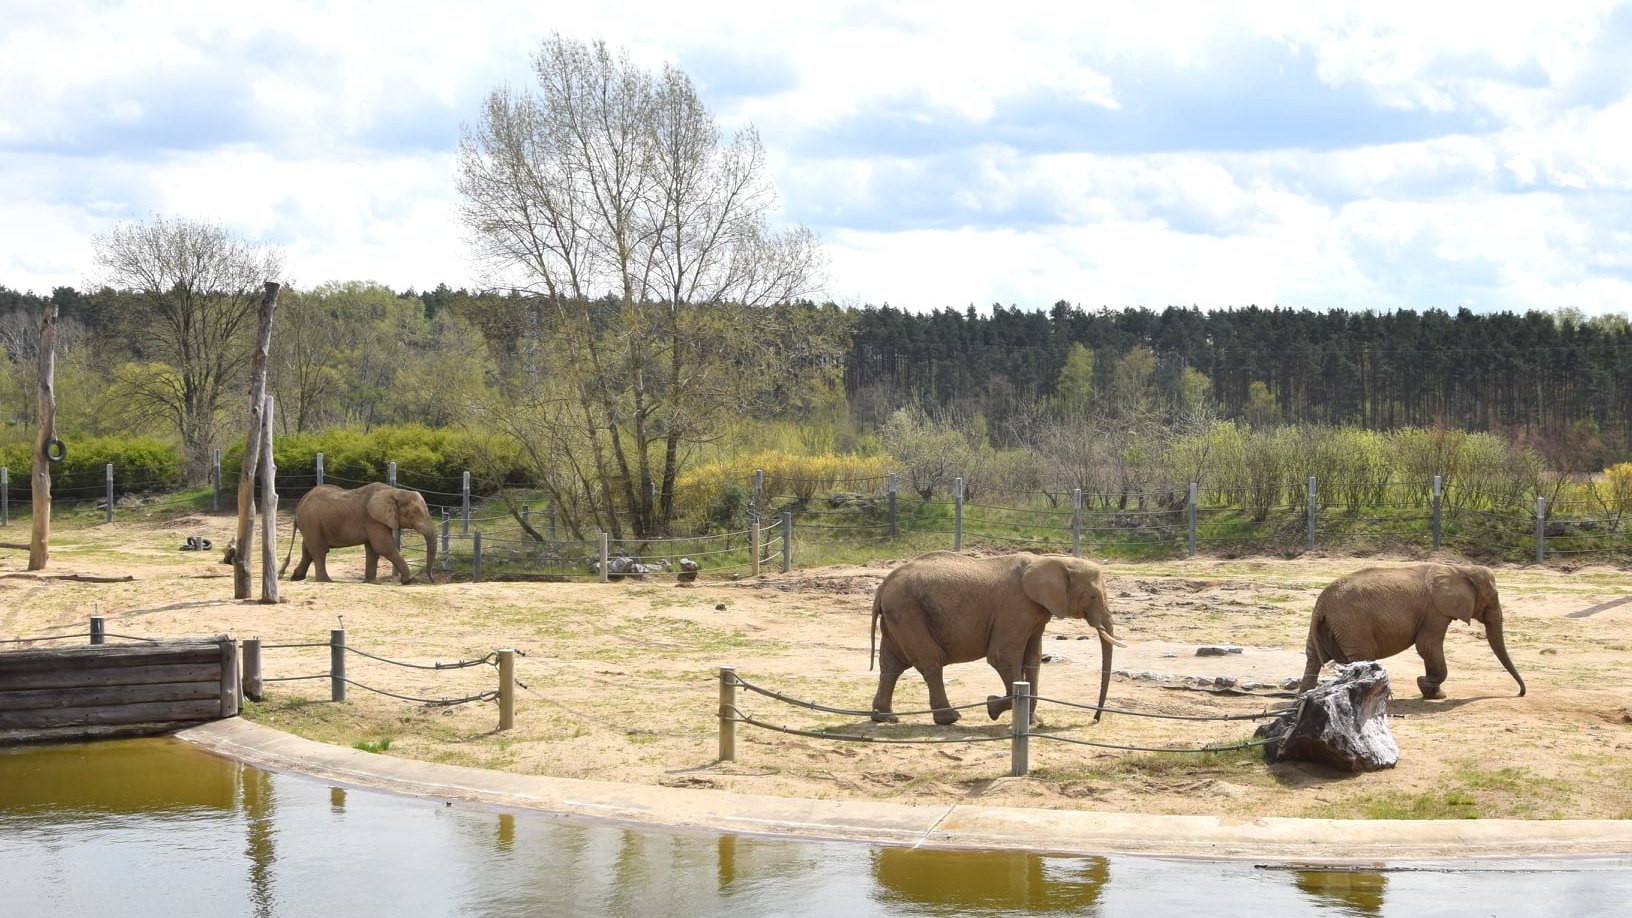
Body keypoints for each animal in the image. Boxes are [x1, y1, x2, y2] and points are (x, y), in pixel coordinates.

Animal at [283, 483, 440, 581]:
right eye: (415, 513)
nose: (432, 580)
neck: (394, 491)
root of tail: (301, 502)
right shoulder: (373, 519)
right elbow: (383, 547)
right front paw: (408, 580)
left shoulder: (375, 521)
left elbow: (373, 550)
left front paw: (370, 581)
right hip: (312, 521)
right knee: (318, 550)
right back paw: (326, 580)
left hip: (311, 524)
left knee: (307, 549)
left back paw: (296, 578)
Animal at [868, 548, 1122, 721]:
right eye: (1093, 596)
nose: (1095, 719)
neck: (1052, 560)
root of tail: (883, 586)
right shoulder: (1015, 608)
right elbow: (1003, 656)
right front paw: (993, 708)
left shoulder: (1037, 613)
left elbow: (1033, 659)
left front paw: (1033, 721)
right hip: (908, 611)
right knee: (930, 660)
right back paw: (950, 719)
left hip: (899, 614)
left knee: (891, 664)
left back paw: (885, 717)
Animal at [1292, 561, 1521, 695]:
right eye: (1492, 598)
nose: (1519, 693)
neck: (1460, 569)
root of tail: (1322, 603)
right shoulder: (1435, 610)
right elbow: (1427, 645)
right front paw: (1429, 687)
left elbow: (1427, 647)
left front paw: (1432, 692)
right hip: (1352, 625)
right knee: (1362, 657)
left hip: (1325, 625)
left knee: (1312, 658)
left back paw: (1304, 698)